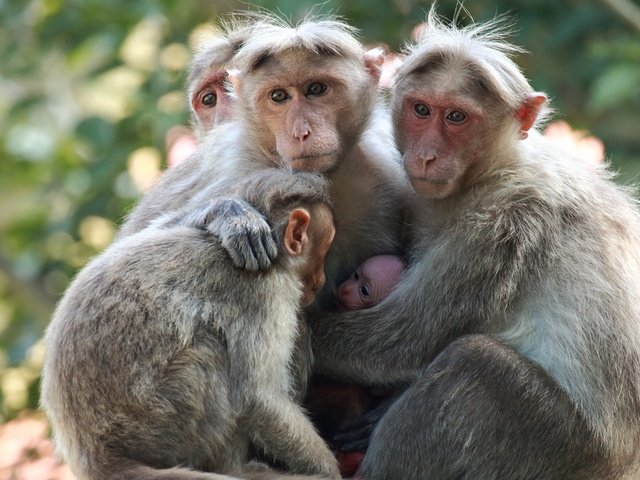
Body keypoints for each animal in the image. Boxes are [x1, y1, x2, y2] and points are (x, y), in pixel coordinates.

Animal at [40, 170, 342, 480]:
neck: (277, 258)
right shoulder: (266, 291)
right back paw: (233, 468)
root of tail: (96, 457)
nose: (320, 279)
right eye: (322, 252)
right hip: (161, 423)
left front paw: (223, 214)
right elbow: (258, 398)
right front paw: (329, 471)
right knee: (210, 352)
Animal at [310, 8, 640, 480]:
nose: (426, 155)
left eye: (456, 118)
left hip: (561, 446)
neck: (490, 173)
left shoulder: (503, 225)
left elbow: (400, 340)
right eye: (422, 110)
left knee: (472, 364)